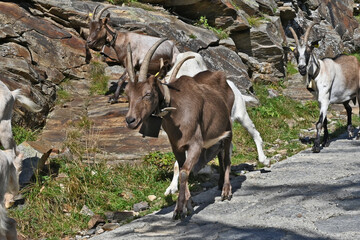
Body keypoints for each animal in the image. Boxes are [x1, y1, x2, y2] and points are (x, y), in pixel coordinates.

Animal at [125, 39, 235, 219]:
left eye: (148, 93)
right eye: (127, 94)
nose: (130, 120)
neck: (177, 110)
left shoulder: (195, 144)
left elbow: (184, 172)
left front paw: (178, 210)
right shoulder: (177, 146)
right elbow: (183, 169)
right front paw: (188, 205)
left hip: (228, 127)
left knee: (226, 157)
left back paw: (226, 191)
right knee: (219, 153)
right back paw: (219, 185)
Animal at [162, 52, 268, 195]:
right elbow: (178, 164)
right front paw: (171, 188)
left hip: (242, 116)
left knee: (255, 134)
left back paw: (264, 160)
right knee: (228, 147)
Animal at [290, 23, 360, 153]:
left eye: (308, 51)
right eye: (295, 53)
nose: (301, 68)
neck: (319, 72)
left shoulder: (324, 98)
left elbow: (319, 123)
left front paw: (316, 145)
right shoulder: (320, 100)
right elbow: (325, 121)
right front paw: (325, 141)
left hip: (359, 93)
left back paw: (357, 135)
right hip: (344, 96)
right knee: (348, 109)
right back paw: (350, 131)